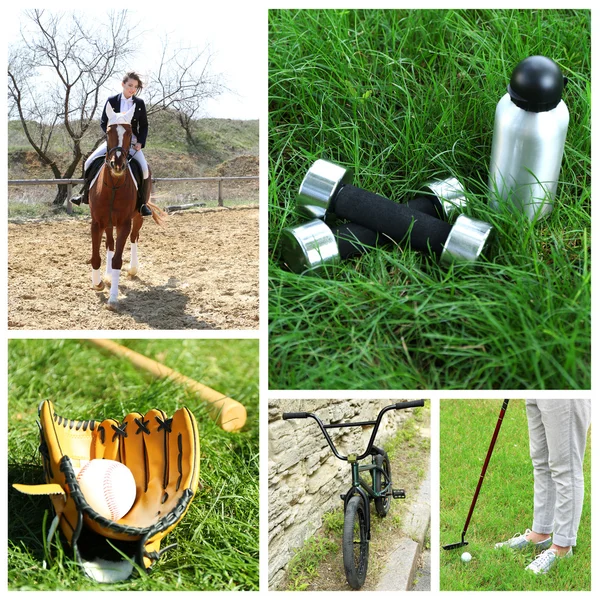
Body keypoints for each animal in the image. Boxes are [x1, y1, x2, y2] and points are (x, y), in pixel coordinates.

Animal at [88, 103, 161, 310]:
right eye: (108, 132)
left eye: (129, 132)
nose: (117, 164)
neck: (113, 185)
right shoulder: (97, 222)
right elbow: (96, 256)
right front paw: (98, 283)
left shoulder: (124, 223)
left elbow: (118, 260)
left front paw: (113, 298)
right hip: (108, 222)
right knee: (110, 244)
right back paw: (107, 275)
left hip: (137, 217)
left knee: (135, 238)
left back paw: (133, 269)